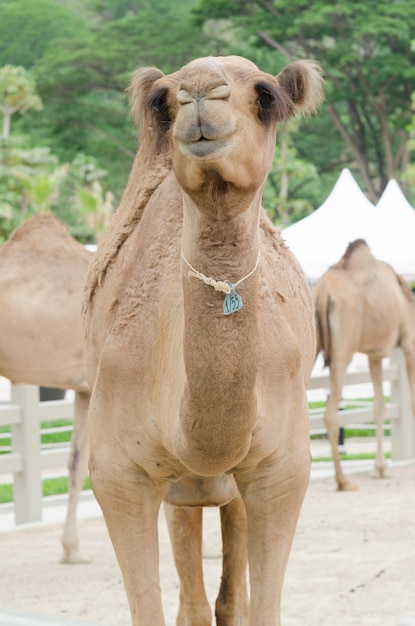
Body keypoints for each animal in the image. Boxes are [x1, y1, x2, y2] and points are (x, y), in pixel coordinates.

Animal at [83, 54, 326, 624]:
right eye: (164, 101)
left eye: (265, 95)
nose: (198, 92)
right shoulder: (118, 474)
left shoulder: (284, 468)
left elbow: (262, 607)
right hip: (179, 484)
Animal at [316, 238, 415, 488]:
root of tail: (322, 294)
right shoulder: (409, 341)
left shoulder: (375, 355)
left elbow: (379, 407)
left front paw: (381, 468)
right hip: (343, 347)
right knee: (330, 413)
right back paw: (343, 480)